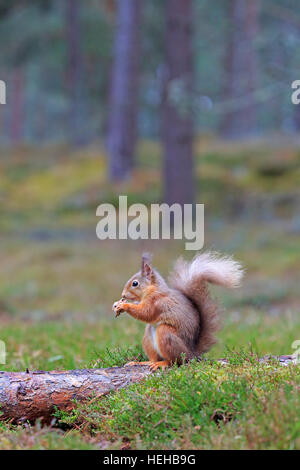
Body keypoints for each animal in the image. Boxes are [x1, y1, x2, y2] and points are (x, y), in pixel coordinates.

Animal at [113, 253, 244, 370]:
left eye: (135, 283)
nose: (123, 295)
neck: (152, 289)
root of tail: (191, 353)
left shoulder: (157, 302)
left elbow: (146, 313)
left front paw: (124, 305)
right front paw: (116, 305)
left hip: (166, 335)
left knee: (175, 361)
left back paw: (162, 364)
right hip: (148, 338)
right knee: (154, 357)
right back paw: (143, 362)